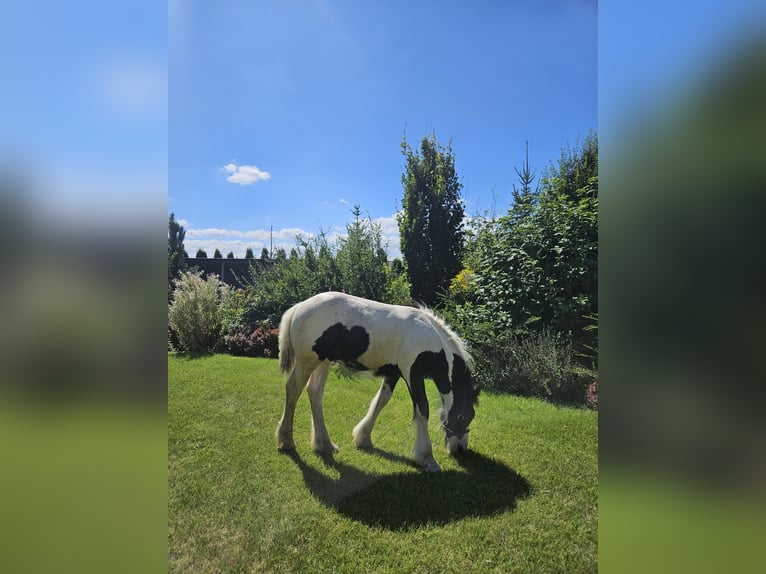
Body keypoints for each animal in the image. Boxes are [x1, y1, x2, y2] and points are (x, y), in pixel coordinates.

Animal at [276, 292, 480, 472]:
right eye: (464, 416)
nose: (460, 449)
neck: (427, 336)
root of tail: (297, 308)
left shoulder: (393, 373)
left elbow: (381, 401)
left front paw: (363, 438)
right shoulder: (412, 373)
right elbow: (422, 409)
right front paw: (427, 458)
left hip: (323, 361)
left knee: (315, 392)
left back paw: (324, 444)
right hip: (307, 361)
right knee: (293, 389)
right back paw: (286, 440)